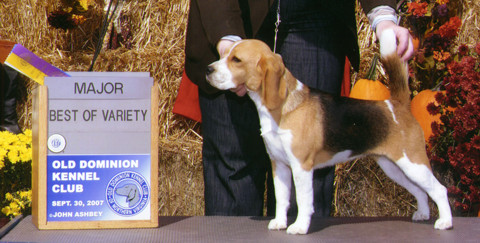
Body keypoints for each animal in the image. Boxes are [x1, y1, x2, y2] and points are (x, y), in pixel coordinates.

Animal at [204, 29, 452, 234]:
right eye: (226, 55)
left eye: (236, 60)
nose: (208, 69)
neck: (283, 107)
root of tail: (397, 104)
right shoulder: (279, 165)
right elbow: (282, 198)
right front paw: (279, 223)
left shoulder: (301, 166)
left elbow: (303, 200)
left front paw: (299, 227)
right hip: (395, 167)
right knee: (421, 191)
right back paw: (423, 214)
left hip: (413, 163)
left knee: (440, 189)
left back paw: (445, 222)